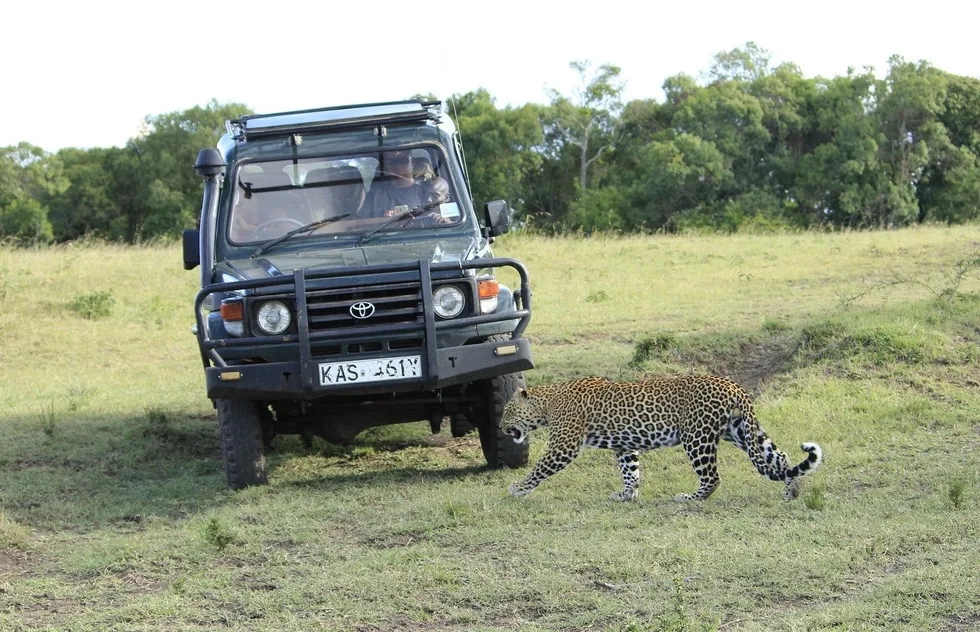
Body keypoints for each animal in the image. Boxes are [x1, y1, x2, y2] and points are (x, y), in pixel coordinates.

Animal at [499, 374, 822, 502]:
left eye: (507, 412)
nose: (501, 427)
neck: (547, 403)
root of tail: (733, 385)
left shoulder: (563, 445)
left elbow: (540, 469)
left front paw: (518, 489)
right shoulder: (625, 445)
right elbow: (630, 471)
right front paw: (627, 495)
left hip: (697, 437)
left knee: (712, 477)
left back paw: (689, 498)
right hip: (741, 431)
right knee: (780, 457)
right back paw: (791, 492)